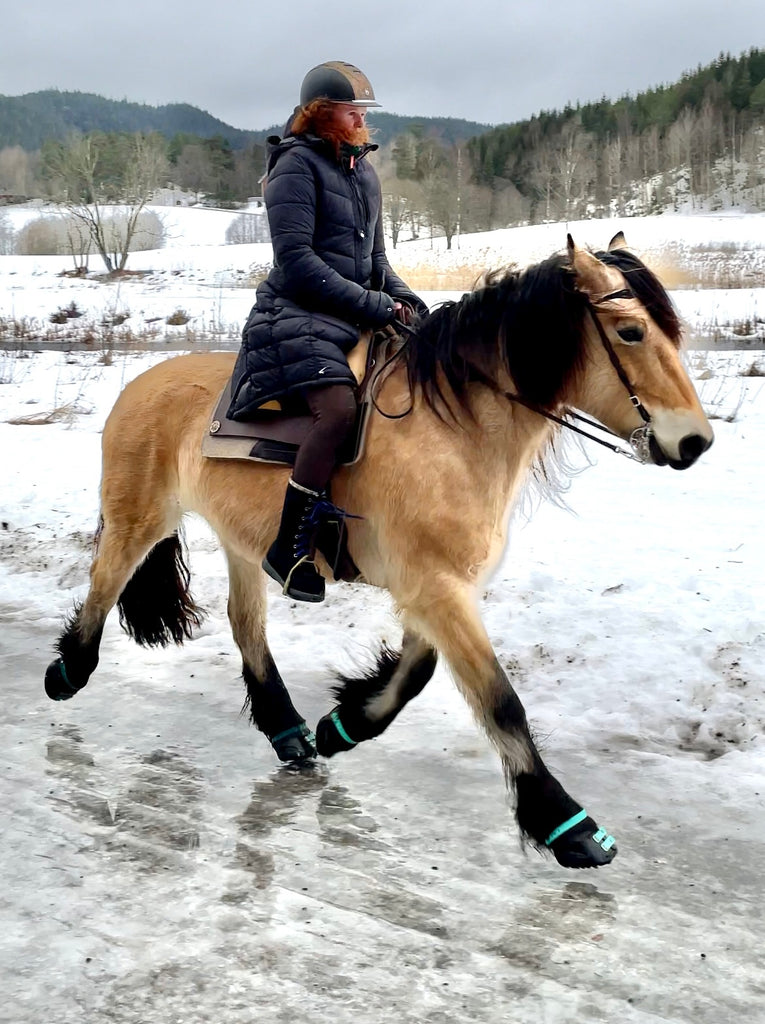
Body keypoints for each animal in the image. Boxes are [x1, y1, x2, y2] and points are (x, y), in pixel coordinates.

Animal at [40, 234, 712, 872]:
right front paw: (567, 826)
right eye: (630, 332)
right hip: (139, 518)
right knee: (105, 581)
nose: (696, 442)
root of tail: (139, 385)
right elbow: (500, 702)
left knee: (244, 624)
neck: (455, 435)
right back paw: (66, 673)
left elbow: (416, 673)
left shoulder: (434, 589)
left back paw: (290, 732)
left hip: (241, 542)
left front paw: (342, 726)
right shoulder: (436, 587)